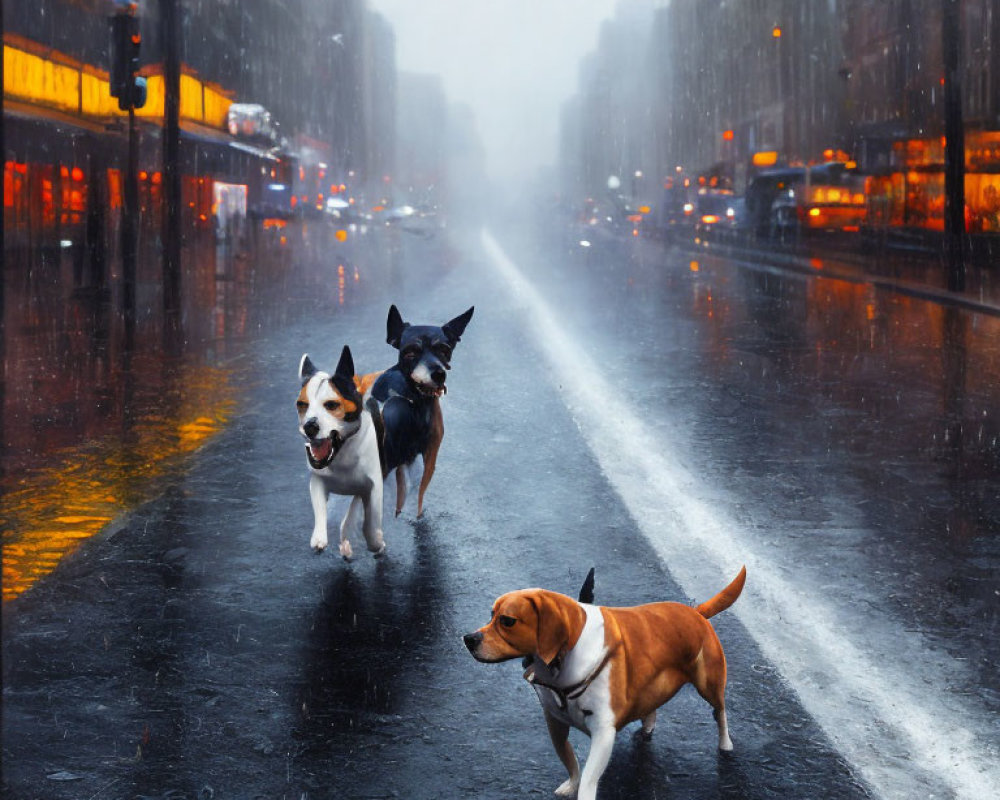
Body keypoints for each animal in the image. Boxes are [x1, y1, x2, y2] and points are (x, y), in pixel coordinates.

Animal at [294, 346, 384, 560]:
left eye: (332, 405)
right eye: (301, 405)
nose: (309, 426)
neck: (342, 454)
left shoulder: (375, 487)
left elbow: (371, 521)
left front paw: (375, 543)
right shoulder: (318, 480)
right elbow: (320, 508)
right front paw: (319, 537)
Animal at [370, 304, 474, 520]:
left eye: (444, 350)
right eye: (410, 353)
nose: (438, 373)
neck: (416, 404)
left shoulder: (428, 456)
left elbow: (416, 494)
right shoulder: (391, 461)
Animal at [464, 564, 748, 796]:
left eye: (507, 621)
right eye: (491, 614)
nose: (468, 639)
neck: (563, 658)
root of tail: (697, 612)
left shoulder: (603, 733)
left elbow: (589, 777)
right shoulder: (556, 724)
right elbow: (570, 761)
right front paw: (571, 784)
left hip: (709, 685)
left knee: (720, 712)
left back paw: (725, 744)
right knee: (653, 705)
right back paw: (647, 726)